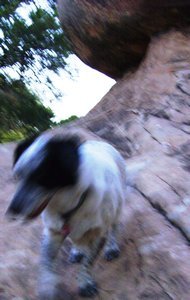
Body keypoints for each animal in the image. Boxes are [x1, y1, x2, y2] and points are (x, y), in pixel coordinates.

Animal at [6, 126, 127, 298]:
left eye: (42, 176)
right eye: (18, 176)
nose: (12, 210)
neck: (70, 206)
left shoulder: (98, 233)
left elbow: (89, 262)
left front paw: (85, 283)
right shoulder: (53, 231)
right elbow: (46, 263)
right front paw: (47, 287)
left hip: (118, 207)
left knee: (114, 228)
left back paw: (111, 247)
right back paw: (77, 250)